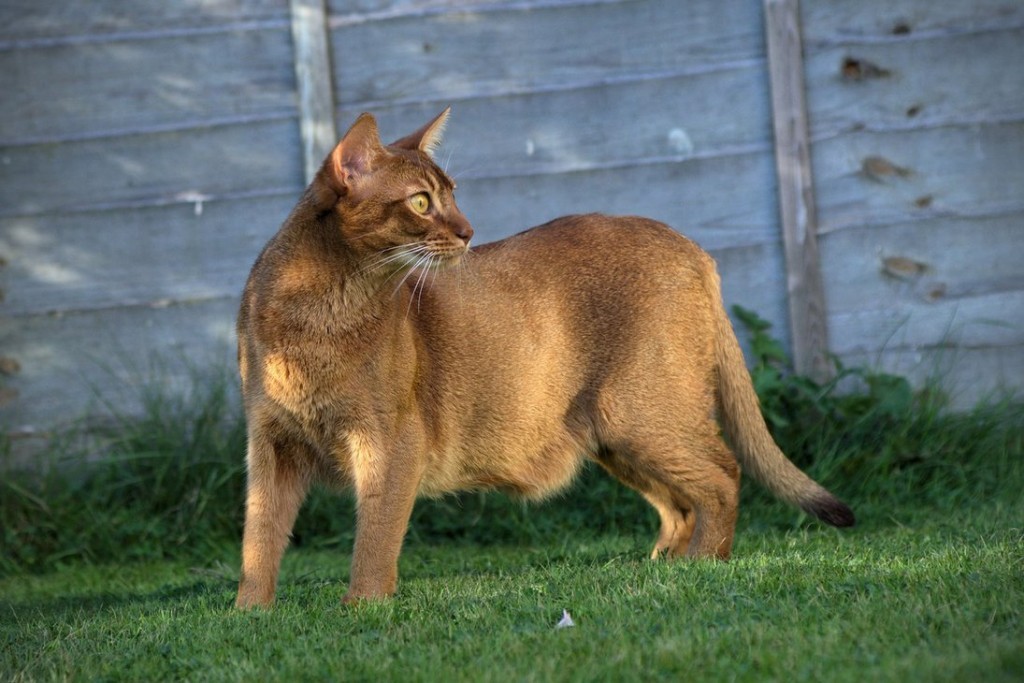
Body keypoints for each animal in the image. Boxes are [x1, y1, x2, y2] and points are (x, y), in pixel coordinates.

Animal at [235, 108, 851, 610]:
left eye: (451, 194)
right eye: (421, 202)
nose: (468, 232)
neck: (318, 304)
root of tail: (693, 248)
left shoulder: (391, 442)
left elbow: (375, 536)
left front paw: (363, 608)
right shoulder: (271, 443)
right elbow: (258, 536)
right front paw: (251, 614)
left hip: (641, 412)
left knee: (723, 475)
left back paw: (702, 566)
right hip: (609, 431)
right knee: (681, 502)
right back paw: (658, 571)